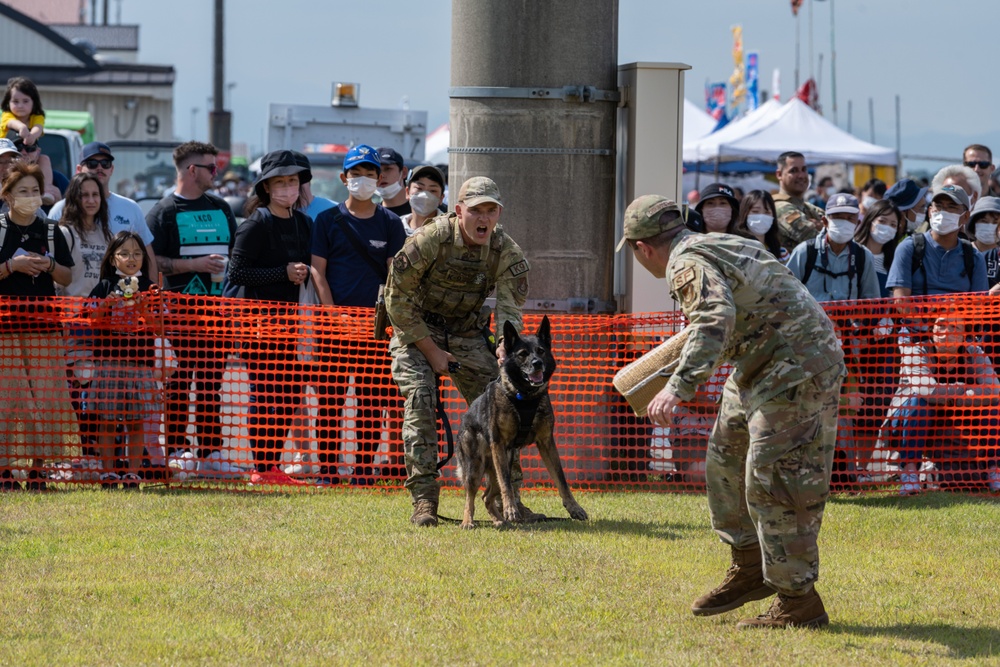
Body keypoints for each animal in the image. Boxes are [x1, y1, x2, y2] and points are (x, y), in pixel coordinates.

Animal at [458, 316, 588, 528]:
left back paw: (500, 521)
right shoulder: (499, 444)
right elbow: (506, 483)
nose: (537, 363)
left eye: (541, 351)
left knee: (487, 496)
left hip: (502, 462)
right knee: (472, 495)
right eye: (522, 354)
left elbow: (561, 478)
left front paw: (574, 507)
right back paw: (468, 521)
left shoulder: (547, 443)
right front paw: (511, 509)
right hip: (476, 467)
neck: (525, 397)